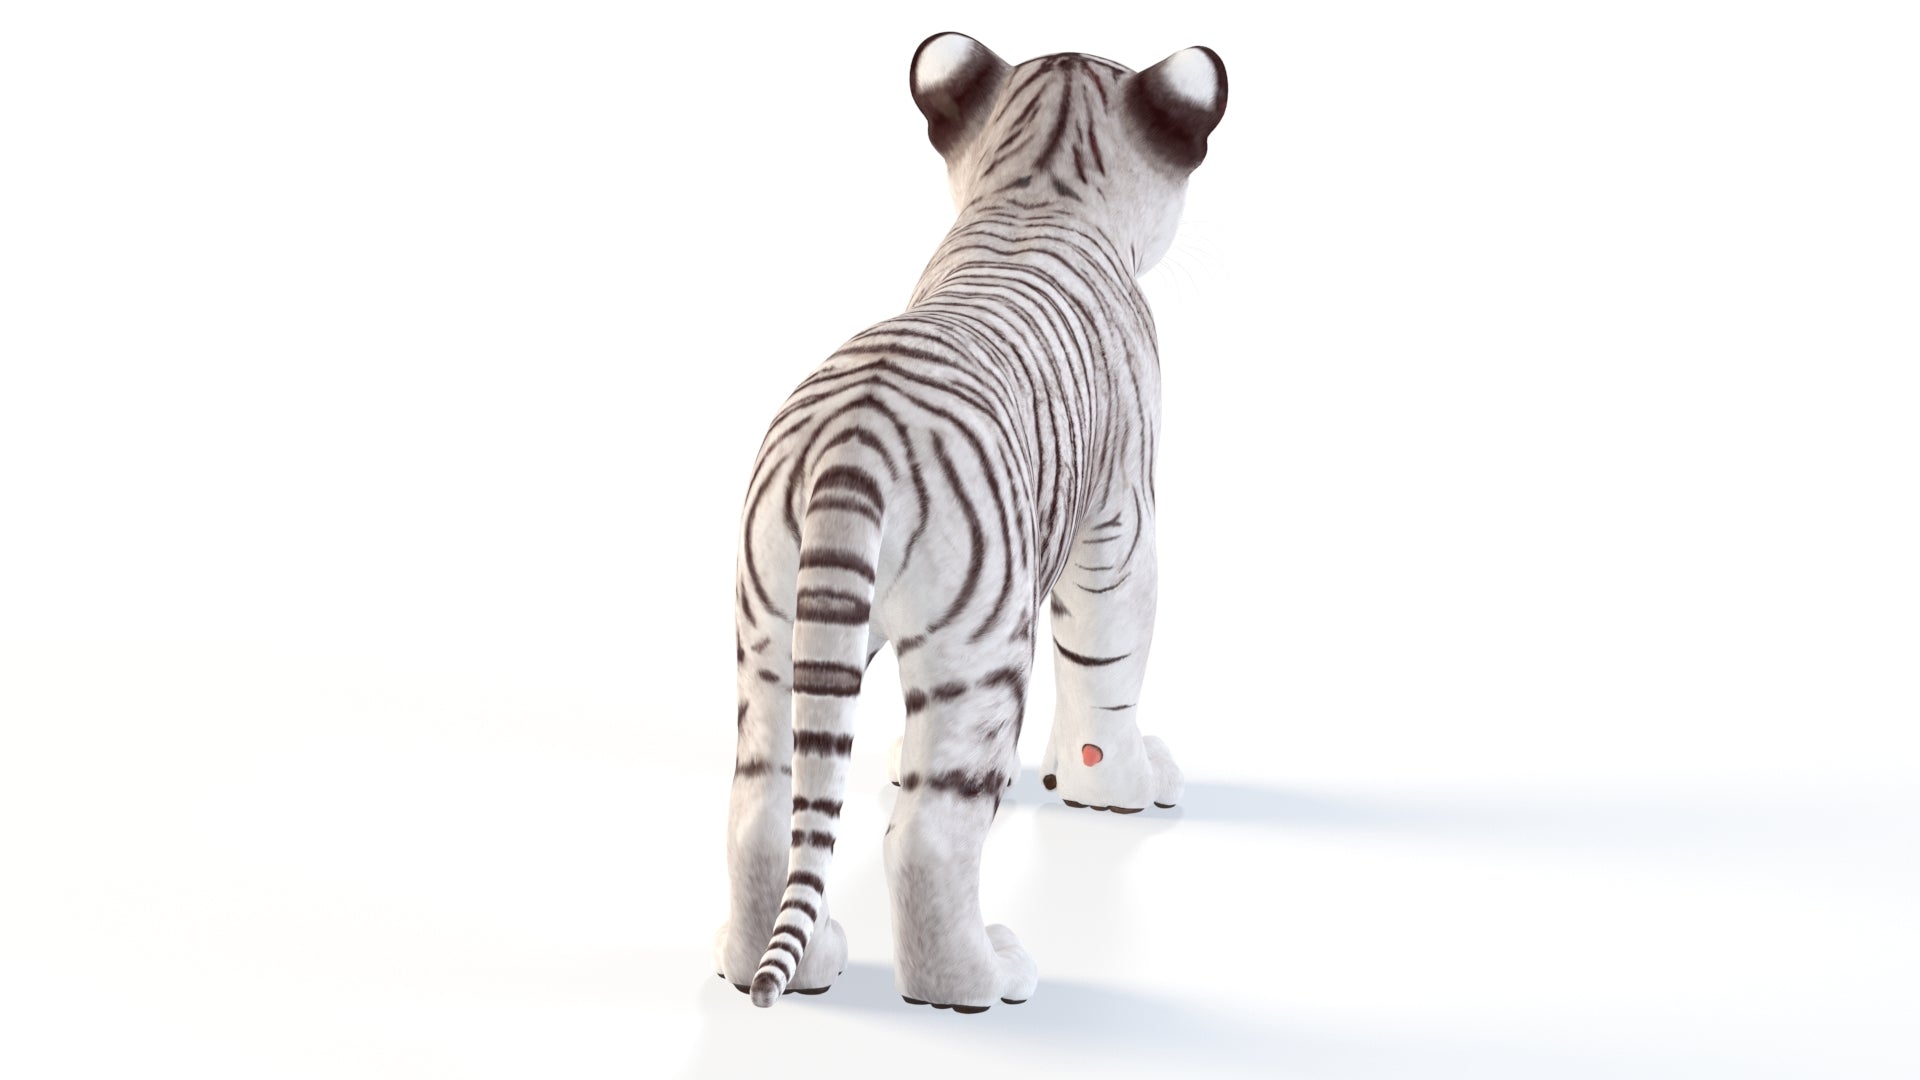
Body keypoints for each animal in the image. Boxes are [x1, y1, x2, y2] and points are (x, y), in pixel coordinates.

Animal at [714, 32, 1227, 1013]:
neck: (1037, 187)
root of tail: (854, 439)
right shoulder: (1120, 519)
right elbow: (1108, 660)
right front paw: (1118, 781)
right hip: (979, 653)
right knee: (930, 836)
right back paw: (983, 977)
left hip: (770, 629)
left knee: (762, 812)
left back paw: (789, 960)